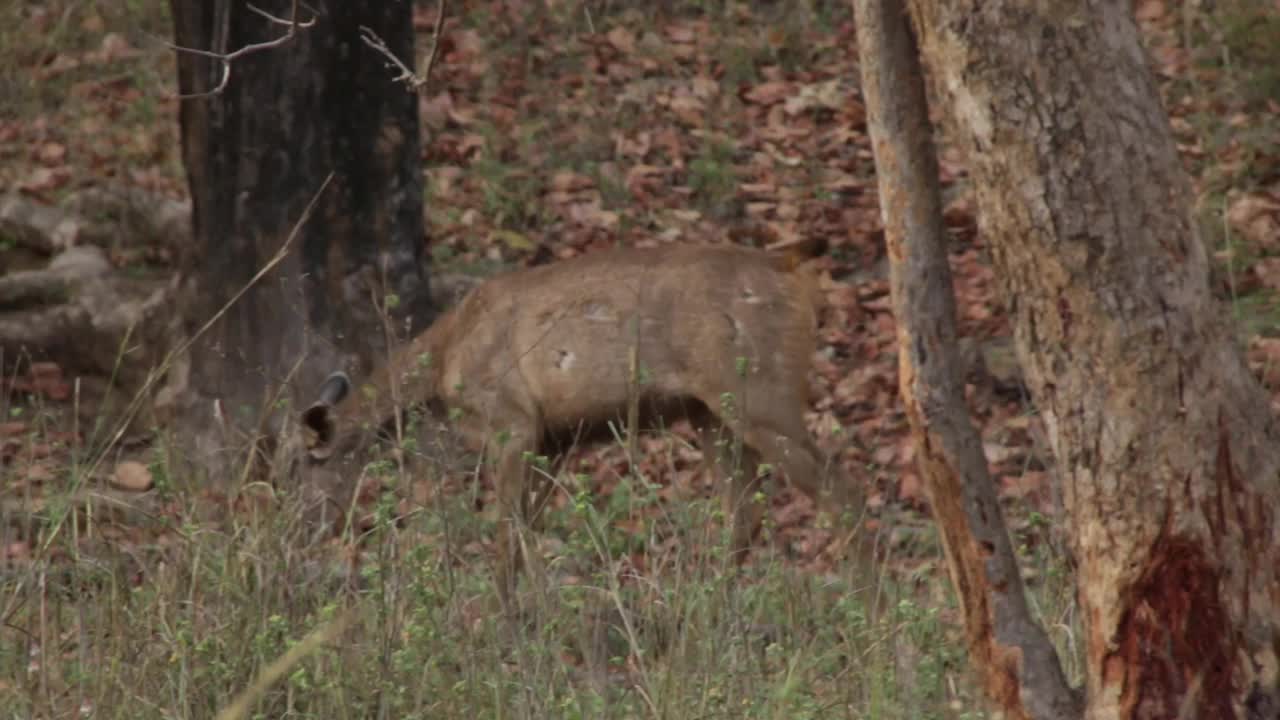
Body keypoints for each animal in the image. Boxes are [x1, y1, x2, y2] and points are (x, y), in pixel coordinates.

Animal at [296, 240, 860, 604]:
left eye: (302, 464)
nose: (294, 529)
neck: (442, 365)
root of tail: (793, 273)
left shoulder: (512, 420)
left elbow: (506, 531)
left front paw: (499, 620)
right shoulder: (554, 439)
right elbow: (527, 531)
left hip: (758, 391)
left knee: (838, 489)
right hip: (708, 411)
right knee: (746, 510)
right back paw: (702, 611)